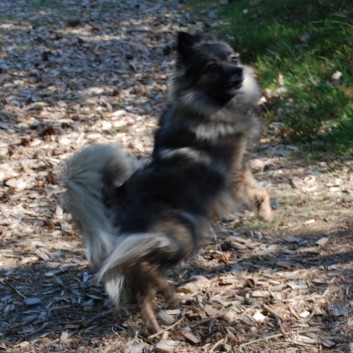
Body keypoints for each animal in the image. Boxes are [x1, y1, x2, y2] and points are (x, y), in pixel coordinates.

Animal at [61, 31, 270, 332]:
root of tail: (118, 193)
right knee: (143, 266)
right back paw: (170, 295)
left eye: (233, 58)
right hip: (183, 235)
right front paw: (265, 212)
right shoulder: (235, 172)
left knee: (140, 283)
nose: (238, 71)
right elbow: (257, 191)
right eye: (212, 67)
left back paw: (156, 325)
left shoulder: (241, 166)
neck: (206, 103)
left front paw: (265, 211)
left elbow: (260, 189)